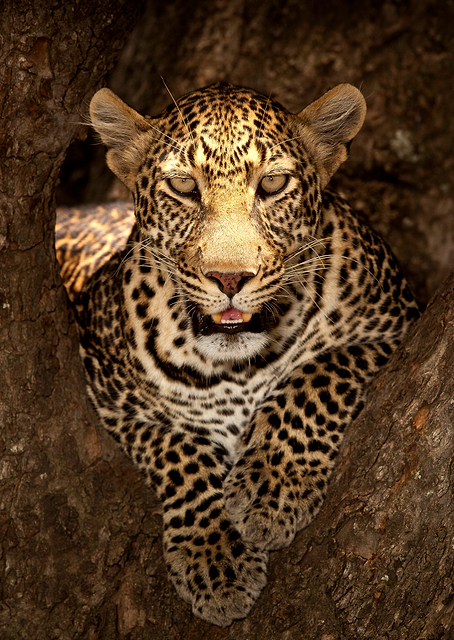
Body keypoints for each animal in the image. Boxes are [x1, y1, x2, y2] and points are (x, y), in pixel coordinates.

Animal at [55, 81, 419, 627]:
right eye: (184, 187)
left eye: (272, 184)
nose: (229, 279)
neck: (236, 368)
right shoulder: (108, 394)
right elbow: (177, 449)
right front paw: (215, 558)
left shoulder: (395, 325)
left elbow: (316, 376)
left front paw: (272, 487)